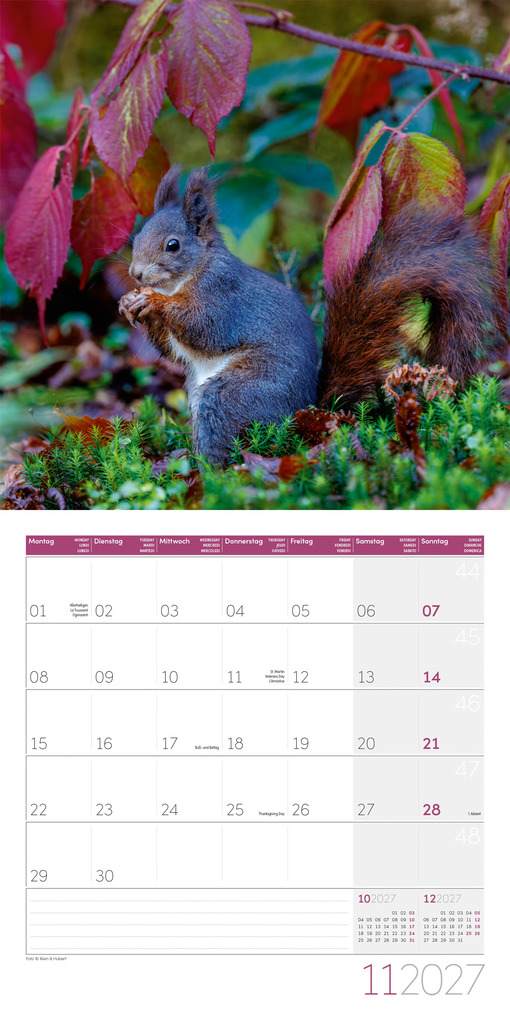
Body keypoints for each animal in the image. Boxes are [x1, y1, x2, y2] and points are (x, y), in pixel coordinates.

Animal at [120, 165, 508, 466]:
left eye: (173, 245)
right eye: (136, 236)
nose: (136, 274)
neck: (186, 277)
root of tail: (304, 412)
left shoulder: (223, 296)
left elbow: (204, 329)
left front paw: (152, 301)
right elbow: (173, 349)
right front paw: (129, 303)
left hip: (241, 392)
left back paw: (208, 471)